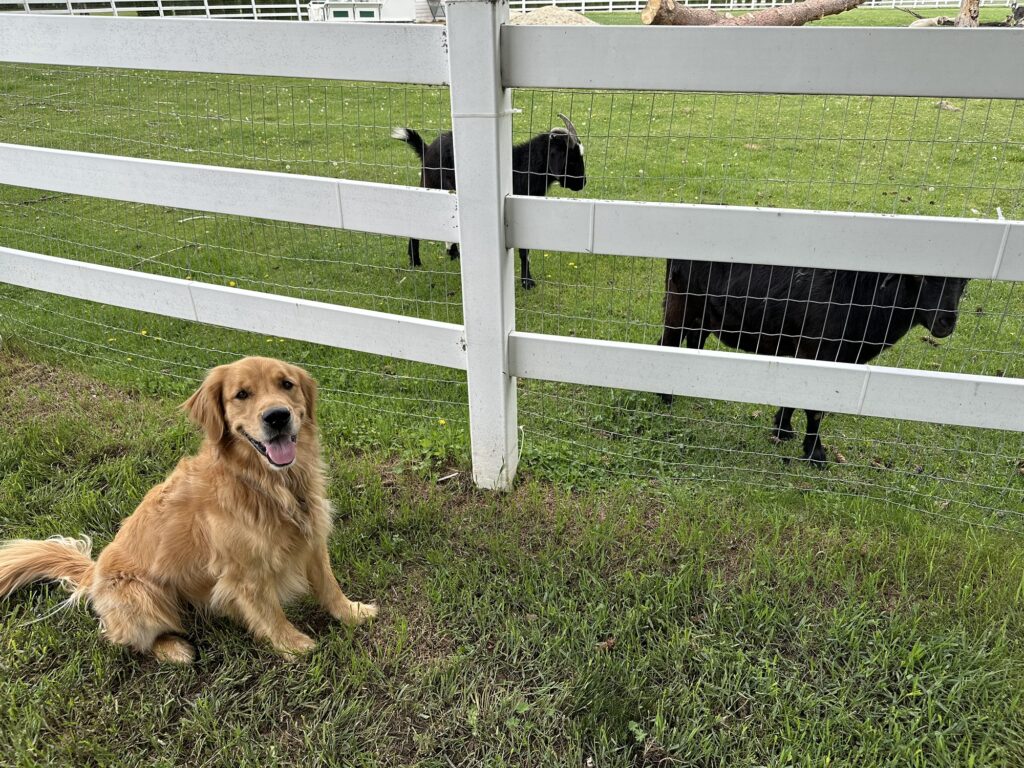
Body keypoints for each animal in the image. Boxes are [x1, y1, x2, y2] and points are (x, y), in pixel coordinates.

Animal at [0, 358, 378, 663]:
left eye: (287, 384)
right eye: (242, 394)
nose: (277, 416)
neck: (265, 484)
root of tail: (92, 575)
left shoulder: (312, 538)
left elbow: (328, 585)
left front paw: (352, 613)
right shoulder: (245, 572)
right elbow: (269, 613)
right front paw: (293, 645)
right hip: (143, 596)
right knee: (122, 638)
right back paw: (174, 650)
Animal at [389, 109, 589, 286]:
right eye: (571, 159)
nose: (583, 183)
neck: (523, 166)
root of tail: (427, 149)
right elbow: (524, 251)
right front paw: (527, 282)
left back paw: (453, 254)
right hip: (432, 185)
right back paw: (415, 261)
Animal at [663, 262, 966, 466]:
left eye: (964, 282)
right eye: (919, 277)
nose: (946, 323)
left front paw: (783, 429)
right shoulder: (817, 351)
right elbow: (815, 408)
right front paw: (815, 454)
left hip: (706, 313)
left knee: (694, 341)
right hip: (682, 302)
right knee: (668, 341)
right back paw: (666, 398)